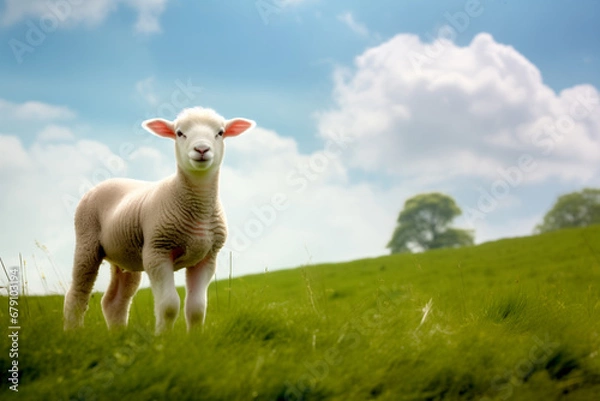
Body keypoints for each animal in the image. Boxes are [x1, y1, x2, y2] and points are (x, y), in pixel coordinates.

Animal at [63, 105, 255, 332]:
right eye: (180, 133)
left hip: (126, 256)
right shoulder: (157, 252)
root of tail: (107, 181)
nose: (201, 150)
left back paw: (118, 335)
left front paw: (195, 338)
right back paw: (72, 332)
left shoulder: (207, 257)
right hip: (87, 241)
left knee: (114, 302)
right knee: (77, 294)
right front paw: (162, 337)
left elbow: (197, 308)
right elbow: (169, 305)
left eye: (220, 132)